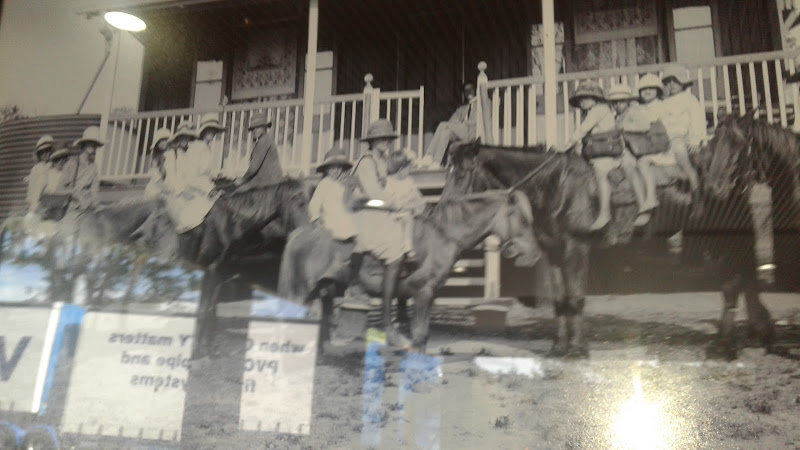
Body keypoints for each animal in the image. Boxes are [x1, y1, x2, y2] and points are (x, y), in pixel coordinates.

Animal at [278, 188, 540, 354]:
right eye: (523, 221)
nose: (534, 255)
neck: (442, 236)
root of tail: (301, 233)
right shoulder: (422, 292)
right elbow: (419, 335)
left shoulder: (430, 295)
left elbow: (423, 336)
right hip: (301, 293)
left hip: (324, 292)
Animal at [446, 141, 708, 358]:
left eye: (460, 173)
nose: (447, 207)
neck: (556, 188)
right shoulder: (553, 252)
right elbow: (560, 301)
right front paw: (559, 347)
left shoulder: (576, 248)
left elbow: (575, 298)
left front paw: (577, 349)